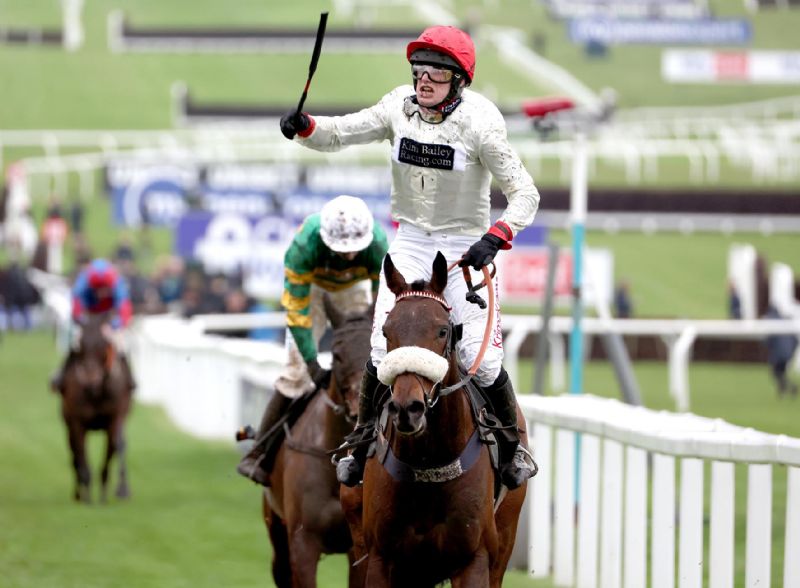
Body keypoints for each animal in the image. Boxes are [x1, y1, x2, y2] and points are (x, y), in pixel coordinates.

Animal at [58, 312, 133, 500]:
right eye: (79, 346)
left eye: (104, 344)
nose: (90, 378)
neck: (96, 391)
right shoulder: (77, 422)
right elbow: (80, 452)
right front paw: (87, 496)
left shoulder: (115, 417)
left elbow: (116, 445)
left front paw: (115, 492)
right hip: (67, 418)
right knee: (73, 451)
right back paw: (78, 493)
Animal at [344, 250, 532, 584]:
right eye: (386, 330)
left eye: (443, 330)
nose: (408, 408)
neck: (428, 461)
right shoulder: (381, 559)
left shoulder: (474, 560)